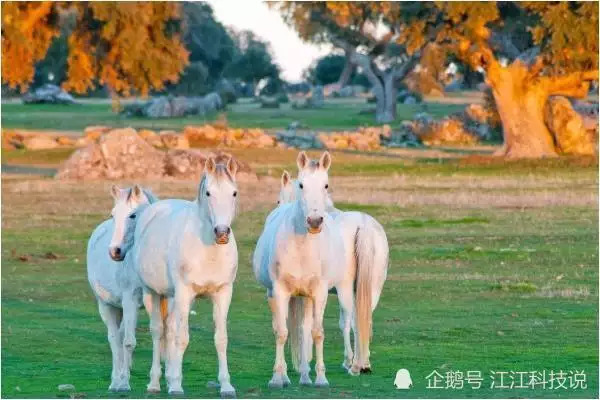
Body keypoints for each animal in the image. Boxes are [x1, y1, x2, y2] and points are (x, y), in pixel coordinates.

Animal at [86, 184, 158, 390]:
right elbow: (127, 343)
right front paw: (124, 382)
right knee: (114, 339)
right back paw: (116, 381)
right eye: (113, 214)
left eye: (133, 215)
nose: (115, 251)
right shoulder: (129, 301)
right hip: (107, 305)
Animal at [123, 157, 238, 396]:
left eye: (234, 193)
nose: (222, 233)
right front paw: (176, 385)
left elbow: (221, 339)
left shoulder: (223, 293)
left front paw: (226, 386)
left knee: (170, 329)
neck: (208, 252)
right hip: (153, 293)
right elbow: (182, 338)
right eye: (208, 193)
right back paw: (155, 383)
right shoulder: (185, 292)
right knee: (158, 332)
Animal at [252, 151, 360, 388]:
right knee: (283, 327)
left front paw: (320, 378)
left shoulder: (318, 293)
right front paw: (277, 378)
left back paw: (304, 375)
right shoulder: (280, 292)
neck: (301, 246)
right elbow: (282, 333)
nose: (314, 221)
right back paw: (288, 375)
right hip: (277, 295)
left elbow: (316, 333)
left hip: (307, 297)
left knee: (304, 330)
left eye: (326, 185)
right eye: (301, 185)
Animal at [278, 170, 392, 376]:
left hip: (344, 289)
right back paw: (364, 362)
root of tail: (364, 226)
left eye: (278, 200)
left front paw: (306, 361)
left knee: (348, 322)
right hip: (373, 289)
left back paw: (352, 363)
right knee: (363, 320)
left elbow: (307, 324)